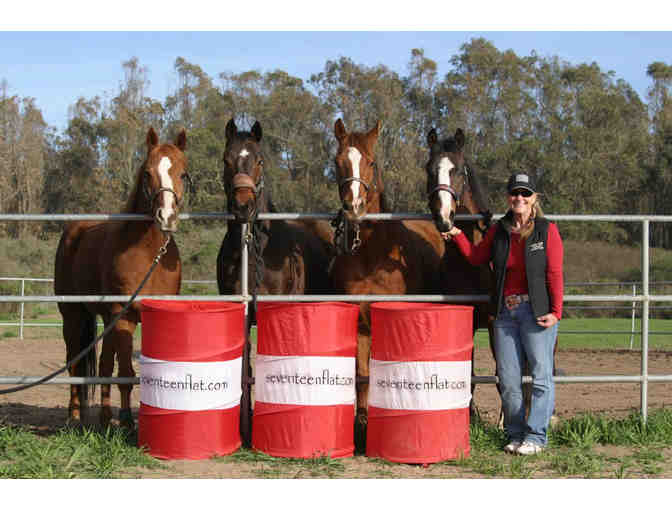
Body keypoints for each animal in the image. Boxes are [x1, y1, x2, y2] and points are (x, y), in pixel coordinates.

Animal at [52, 126, 188, 426]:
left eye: (183, 173)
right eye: (147, 173)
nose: (167, 217)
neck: (149, 253)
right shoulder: (123, 315)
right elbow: (125, 372)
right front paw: (126, 421)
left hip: (104, 318)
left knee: (102, 364)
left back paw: (103, 418)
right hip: (73, 315)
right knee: (74, 363)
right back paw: (74, 416)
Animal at [330, 119, 448, 446]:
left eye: (371, 162)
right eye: (337, 161)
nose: (354, 206)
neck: (373, 255)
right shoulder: (360, 324)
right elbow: (362, 375)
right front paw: (361, 423)